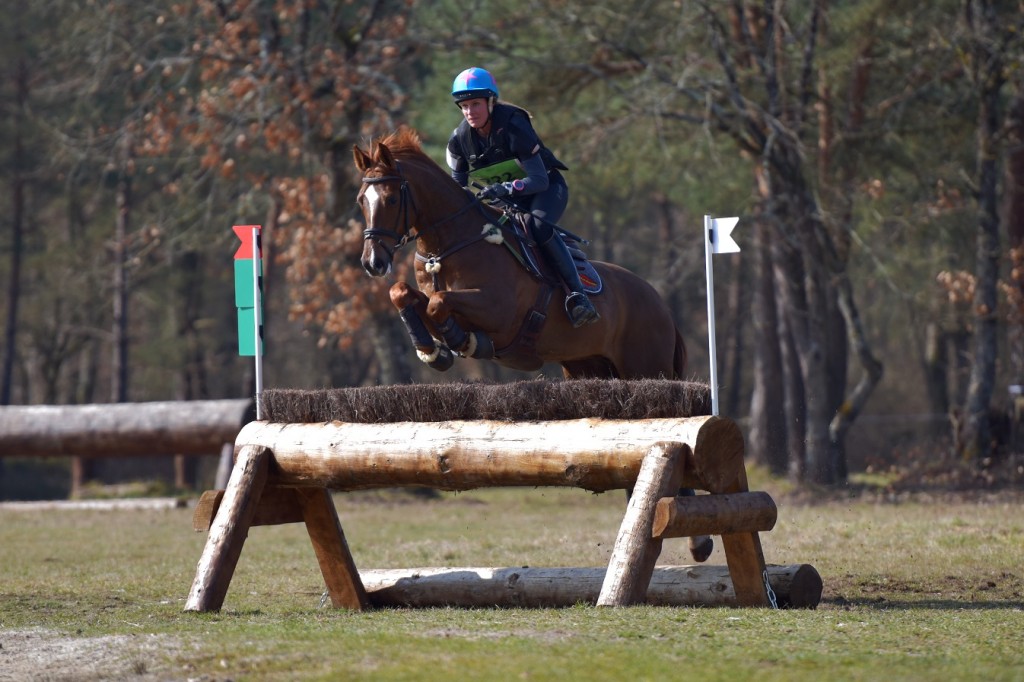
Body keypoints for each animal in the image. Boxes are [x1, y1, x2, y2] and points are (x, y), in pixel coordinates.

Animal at [352, 127, 712, 561]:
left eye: (390, 199)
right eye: (361, 200)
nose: (373, 262)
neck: (451, 244)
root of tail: (660, 303)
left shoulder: (499, 312)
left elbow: (440, 305)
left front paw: (460, 342)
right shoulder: (430, 292)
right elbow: (404, 294)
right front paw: (432, 350)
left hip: (646, 368)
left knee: (674, 430)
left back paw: (698, 541)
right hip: (589, 370)